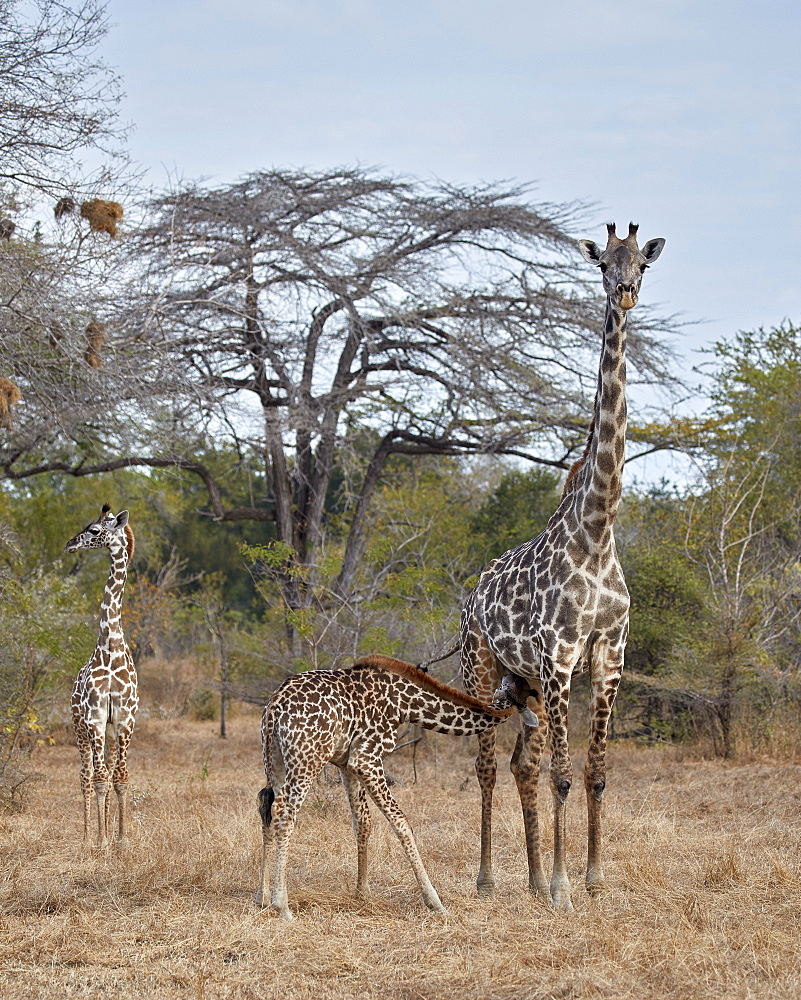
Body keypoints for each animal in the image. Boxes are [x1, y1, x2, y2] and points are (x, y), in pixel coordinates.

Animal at [260, 656, 516, 920]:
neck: (405, 704)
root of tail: (275, 706)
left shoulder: (346, 763)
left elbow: (362, 822)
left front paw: (363, 892)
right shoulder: (366, 759)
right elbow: (401, 822)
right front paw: (434, 902)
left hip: (275, 757)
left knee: (266, 805)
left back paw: (264, 897)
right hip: (309, 758)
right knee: (283, 811)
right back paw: (283, 906)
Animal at [460, 223, 664, 912]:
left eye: (643, 264)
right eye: (603, 263)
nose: (624, 292)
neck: (597, 532)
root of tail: (469, 595)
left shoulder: (609, 654)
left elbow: (596, 772)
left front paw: (593, 877)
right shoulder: (559, 655)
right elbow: (565, 774)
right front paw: (562, 888)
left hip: (518, 682)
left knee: (521, 763)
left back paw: (524, 875)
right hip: (482, 666)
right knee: (487, 764)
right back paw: (489, 878)